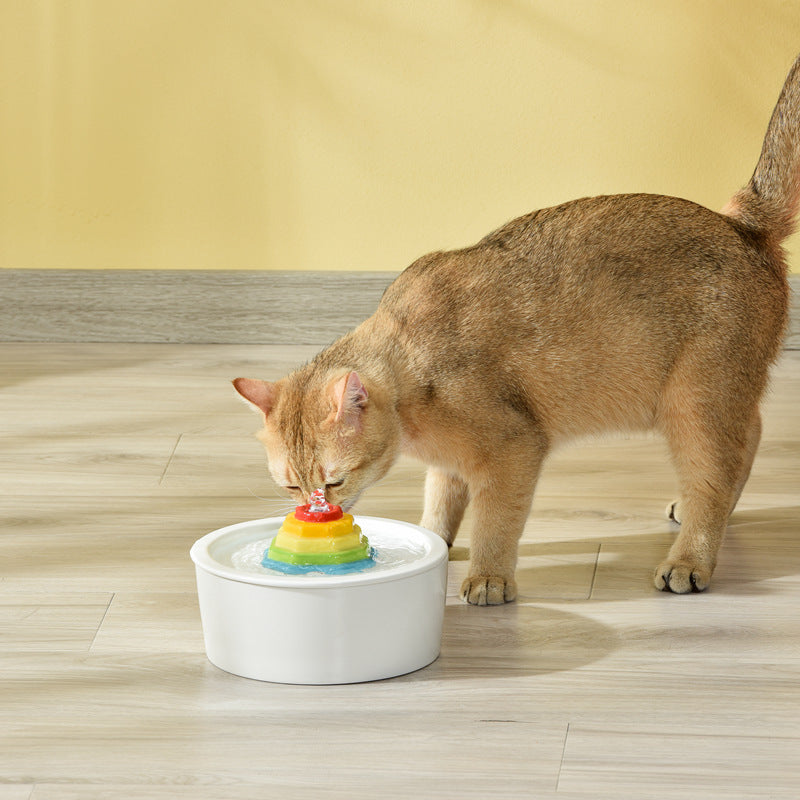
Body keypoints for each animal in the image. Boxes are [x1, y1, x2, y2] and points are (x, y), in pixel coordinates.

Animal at [234, 54, 796, 608]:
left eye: (335, 479)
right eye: (291, 488)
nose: (317, 510)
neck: (410, 368)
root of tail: (741, 225)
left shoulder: (515, 447)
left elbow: (495, 523)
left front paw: (488, 577)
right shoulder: (448, 465)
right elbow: (440, 503)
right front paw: (433, 541)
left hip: (694, 401)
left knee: (714, 471)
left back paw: (690, 560)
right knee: (749, 432)